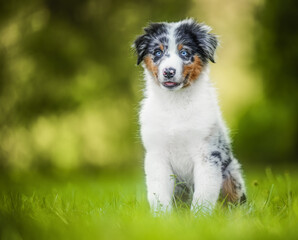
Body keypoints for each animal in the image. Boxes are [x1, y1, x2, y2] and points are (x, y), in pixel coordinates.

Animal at [134, 19, 246, 214]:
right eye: (157, 52)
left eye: (184, 52)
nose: (169, 71)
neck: (175, 104)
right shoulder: (157, 155)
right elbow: (158, 193)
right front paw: (161, 218)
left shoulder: (207, 153)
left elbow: (204, 192)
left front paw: (199, 218)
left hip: (232, 176)